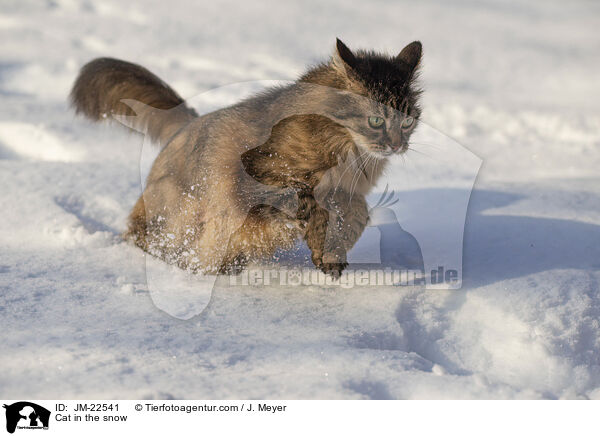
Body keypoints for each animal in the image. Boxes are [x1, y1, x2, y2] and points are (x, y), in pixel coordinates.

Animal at [70, 37, 424, 276]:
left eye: (408, 121)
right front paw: (318, 235)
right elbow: (303, 196)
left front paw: (330, 253)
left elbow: (356, 214)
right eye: (376, 120)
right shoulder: (257, 173)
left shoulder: (350, 192)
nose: (397, 145)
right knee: (146, 235)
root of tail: (188, 121)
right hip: (178, 216)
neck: (347, 153)